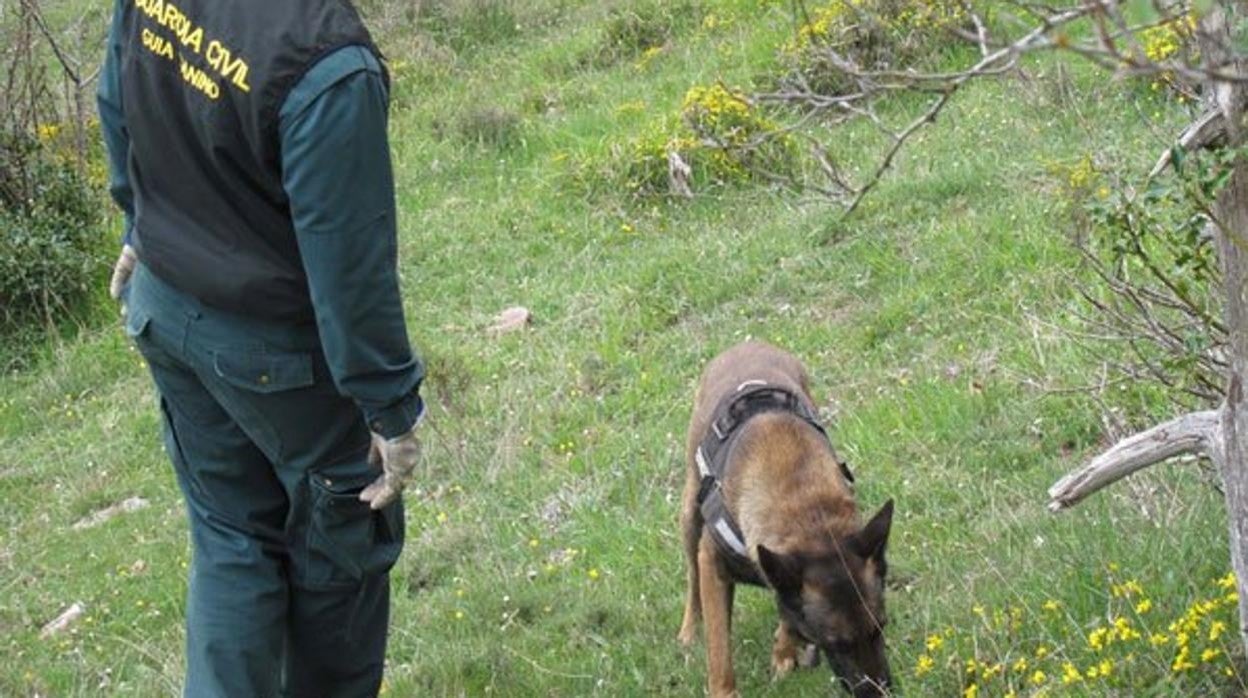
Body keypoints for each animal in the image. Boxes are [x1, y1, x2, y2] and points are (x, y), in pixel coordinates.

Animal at [678, 342, 893, 694]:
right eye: (837, 643)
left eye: (880, 627)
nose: (883, 692)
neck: (808, 512)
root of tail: (746, 344)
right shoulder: (713, 561)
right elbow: (719, 649)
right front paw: (725, 689)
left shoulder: (780, 563)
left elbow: (788, 608)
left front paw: (784, 648)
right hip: (689, 516)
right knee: (693, 577)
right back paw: (689, 628)